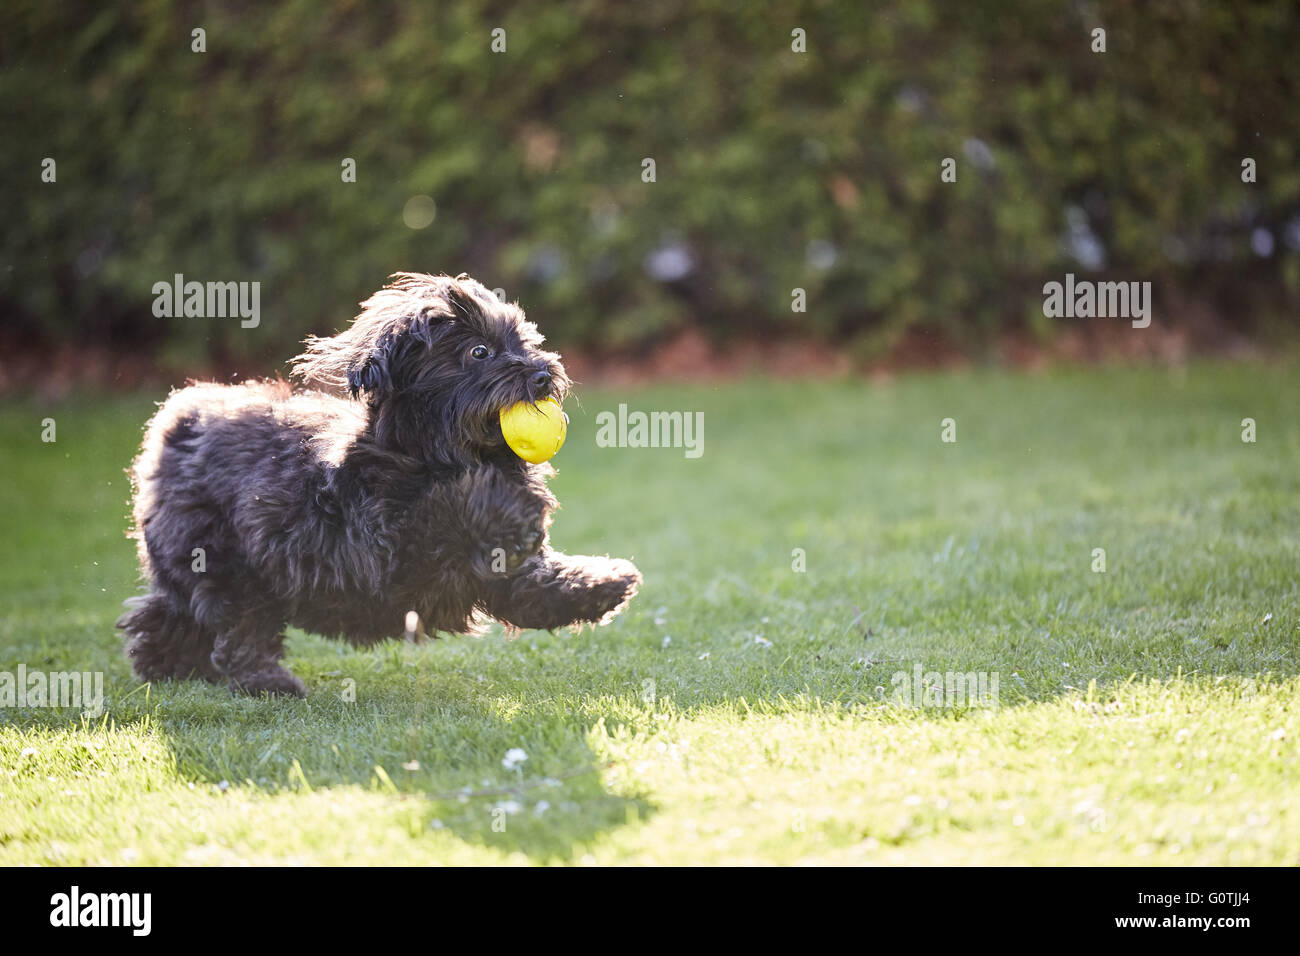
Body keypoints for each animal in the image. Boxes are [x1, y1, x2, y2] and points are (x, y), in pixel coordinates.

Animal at [119, 269, 637, 697]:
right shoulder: (384, 554)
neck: (438, 453)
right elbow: (447, 510)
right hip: (230, 563)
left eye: (525, 341)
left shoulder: (492, 572)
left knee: (171, 613)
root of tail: (180, 419)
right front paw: (509, 502)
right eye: (479, 351)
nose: (543, 373)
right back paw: (266, 682)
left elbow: (536, 584)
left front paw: (604, 583)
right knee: (239, 629)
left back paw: (168, 666)